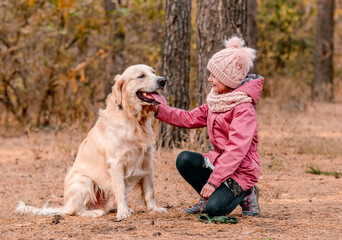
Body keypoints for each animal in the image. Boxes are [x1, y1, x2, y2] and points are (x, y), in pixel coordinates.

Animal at [15, 64, 168, 219]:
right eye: (141, 76)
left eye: (153, 72)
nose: (163, 80)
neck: (134, 119)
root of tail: (65, 205)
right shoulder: (116, 162)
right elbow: (121, 191)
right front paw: (123, 213)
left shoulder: (146, 159)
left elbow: (150, 190)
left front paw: (154, 209)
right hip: (85, 181)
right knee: (76, 211)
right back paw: (95, 212)